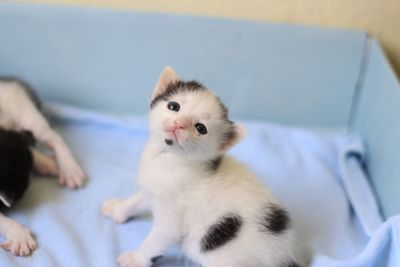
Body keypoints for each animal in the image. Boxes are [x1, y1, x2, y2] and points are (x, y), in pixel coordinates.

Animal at [0, 78, 85, 258]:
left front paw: (19, 236)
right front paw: (18, 234)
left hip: (22, 110)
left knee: (52, 137)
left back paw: (69, 169)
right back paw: (49, 164)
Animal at [103, 67, 300, 267]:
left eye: (201, 128)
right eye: (173, 106)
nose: (179, 124)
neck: (167, 157)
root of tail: (286, 257)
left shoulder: (172, 220)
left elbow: (156, 240)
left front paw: (136, 259)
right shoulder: (153, 187)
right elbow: (136, 200)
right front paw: (118, 209)